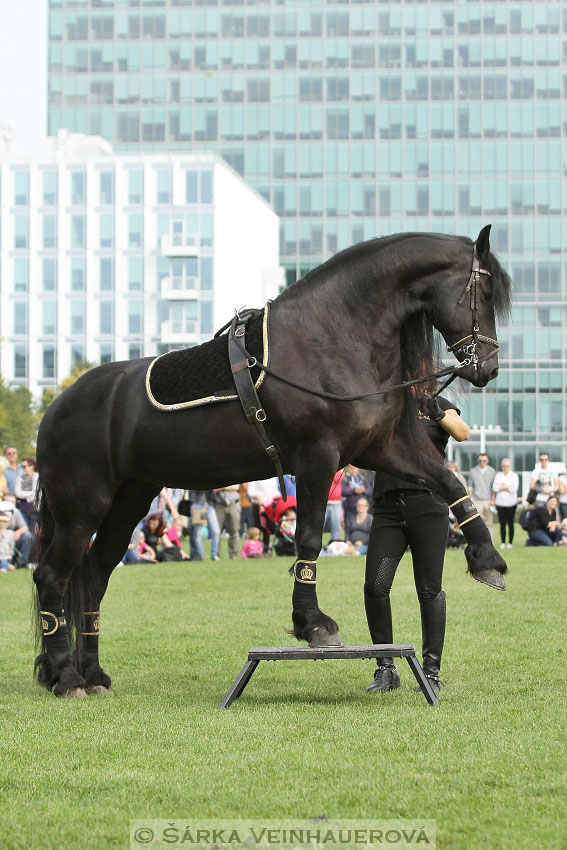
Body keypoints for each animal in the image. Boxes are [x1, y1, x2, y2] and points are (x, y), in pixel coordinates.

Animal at [35, 227, 516, 696]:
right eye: (486, 291)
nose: (489, 368)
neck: (332, 335)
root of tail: (57, 406)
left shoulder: (379, 450)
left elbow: (451, 483)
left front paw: (486, 558)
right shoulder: (317, 456)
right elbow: (308, 538)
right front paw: (313, 624)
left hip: (128, 502)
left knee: (92, 579)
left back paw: (93, 675)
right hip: (82, 511)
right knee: (51, 578)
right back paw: (67, 677)